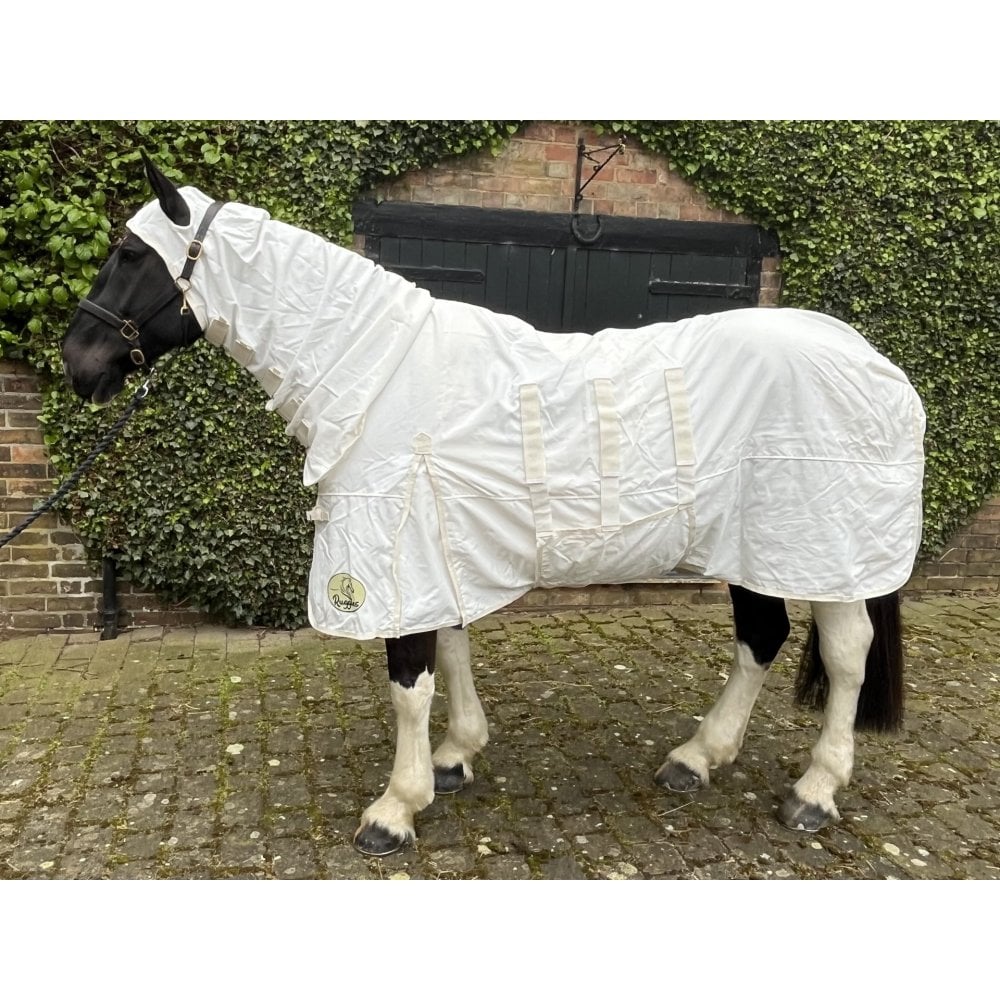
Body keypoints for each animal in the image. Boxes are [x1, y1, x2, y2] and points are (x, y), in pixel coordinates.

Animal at [61, 153, 925, 856]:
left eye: (131, 254)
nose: (78, 363)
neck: (373, 369)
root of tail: (873, 362)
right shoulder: (434, 543)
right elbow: (451, 650)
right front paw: (454, 758)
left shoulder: (396, 550)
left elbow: (409, 682)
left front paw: (394, 809)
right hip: (756, 546)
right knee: (763, 638)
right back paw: (697, 758)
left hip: (824, 546)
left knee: (845, 655)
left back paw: (815, 792)